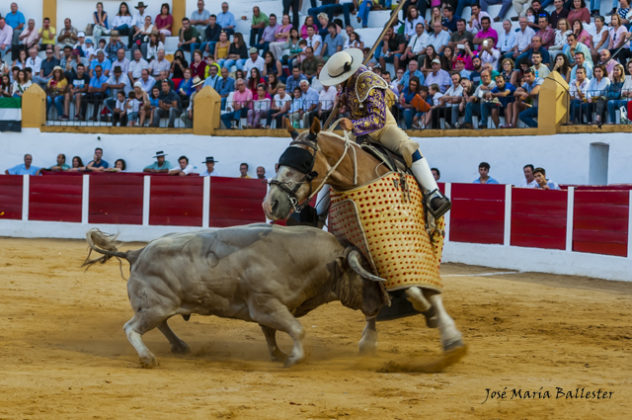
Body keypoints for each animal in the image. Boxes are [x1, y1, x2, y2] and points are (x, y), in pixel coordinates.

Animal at [82, 223, 390, 368]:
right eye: (363, 275)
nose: (380, 306)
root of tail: (136, 252)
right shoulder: (267, 304)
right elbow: (297, 329)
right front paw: (293, 359)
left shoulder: (267, 308)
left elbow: (271, 333)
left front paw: (278, 354)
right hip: (154, 306)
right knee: (132, 327)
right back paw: (148, 358)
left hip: (159, 306)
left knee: (160, 324)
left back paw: (180, 346)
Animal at [262, 119, 464, 358]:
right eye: (281, 162)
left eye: (305, 162)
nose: (270, 204)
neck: (356, 178)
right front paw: (370, 337)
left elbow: (413, 287)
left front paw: (427, 311)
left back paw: (449, 335)